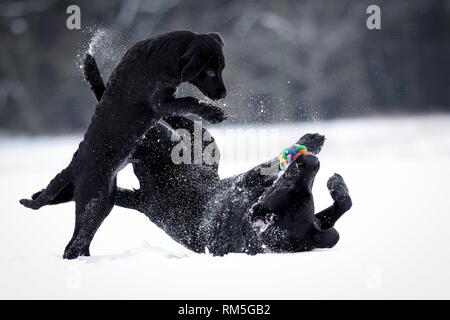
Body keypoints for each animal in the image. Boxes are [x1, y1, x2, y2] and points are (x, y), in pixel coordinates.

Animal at [18, 30, 227, 260]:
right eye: (209, 71)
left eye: (222, 68)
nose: (223, 94)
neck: (161, 57)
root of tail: (75, 165)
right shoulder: (160, 103)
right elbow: (189, 100)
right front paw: (214, 113)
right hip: (95, 202)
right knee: (73, 246)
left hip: (105, 199)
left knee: (80, 242)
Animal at [21, 53, 354, 256]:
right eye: (293, 188)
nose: (311, 162)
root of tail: (145, 196)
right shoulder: (254, 184)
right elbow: (338, 206)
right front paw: (326, 169)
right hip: (195, 144)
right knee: (172, 114)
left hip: (153, 147)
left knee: (153, 113)